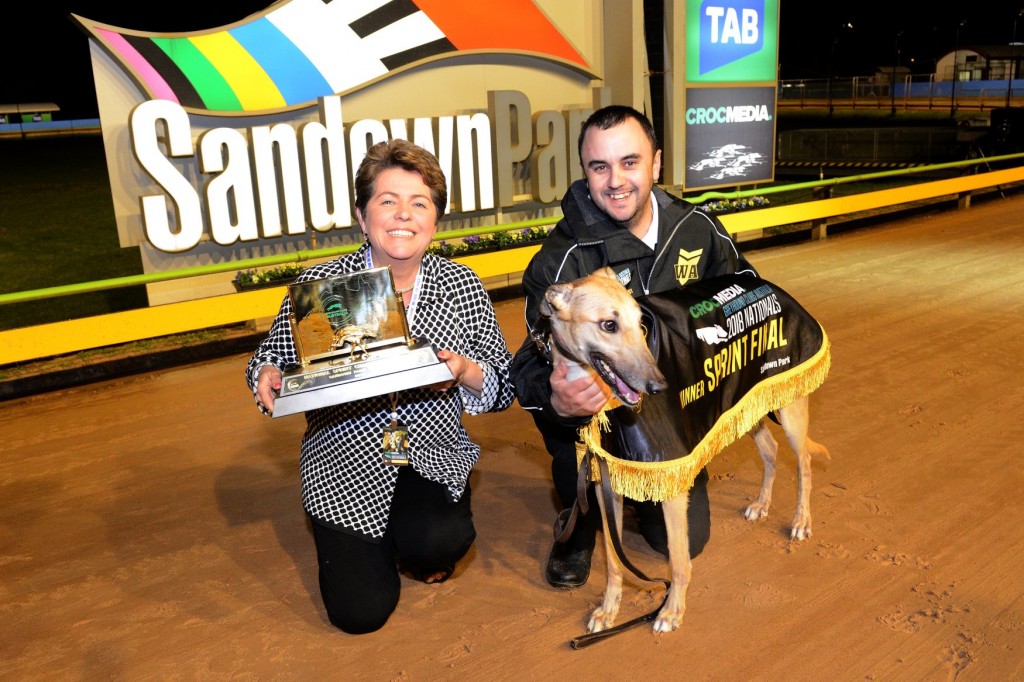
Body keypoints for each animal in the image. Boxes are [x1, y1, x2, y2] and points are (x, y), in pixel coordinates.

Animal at [540, 264, 827, 630]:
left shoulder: (670, 481)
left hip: (789, 408)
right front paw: (608, 610)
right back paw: (762, 504)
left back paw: (801, 519)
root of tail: (763, 281)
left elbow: (678, 559)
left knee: (803, 461)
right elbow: (614, 562)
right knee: (771, 451)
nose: (659, 386)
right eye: (609, 324)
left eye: (641, 322)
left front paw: (672, 611)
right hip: (746, 402)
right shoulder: (609, 485)